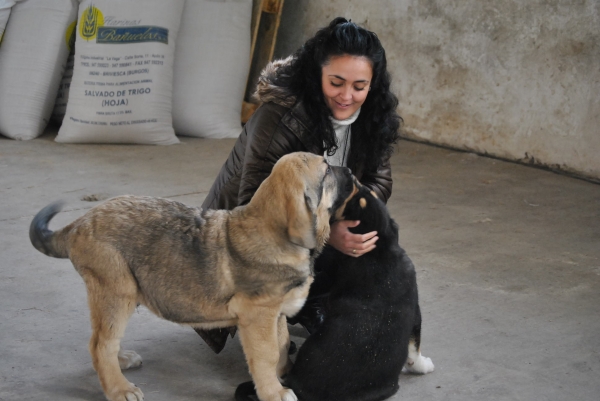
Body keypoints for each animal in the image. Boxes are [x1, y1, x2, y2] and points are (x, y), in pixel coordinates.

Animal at [29, 152, 356, 400]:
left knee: (104, 338)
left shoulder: (274, 316)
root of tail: (78, 224)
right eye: (327, 170)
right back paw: (119, 389)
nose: (352, 170)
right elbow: (265, 356)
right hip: (115, 290)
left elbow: (281, 348)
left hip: (120, 295)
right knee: (100, 344)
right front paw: (274, 392)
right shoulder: (257, 315)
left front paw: (281, 376)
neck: (275, 234)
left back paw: (121, 362)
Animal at [237, 184, 434, 400]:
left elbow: (414, 345)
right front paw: (422, 366)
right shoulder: (415, 311)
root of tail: (298, 387)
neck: (378, 253)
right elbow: (415, 347)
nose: (355, 181)